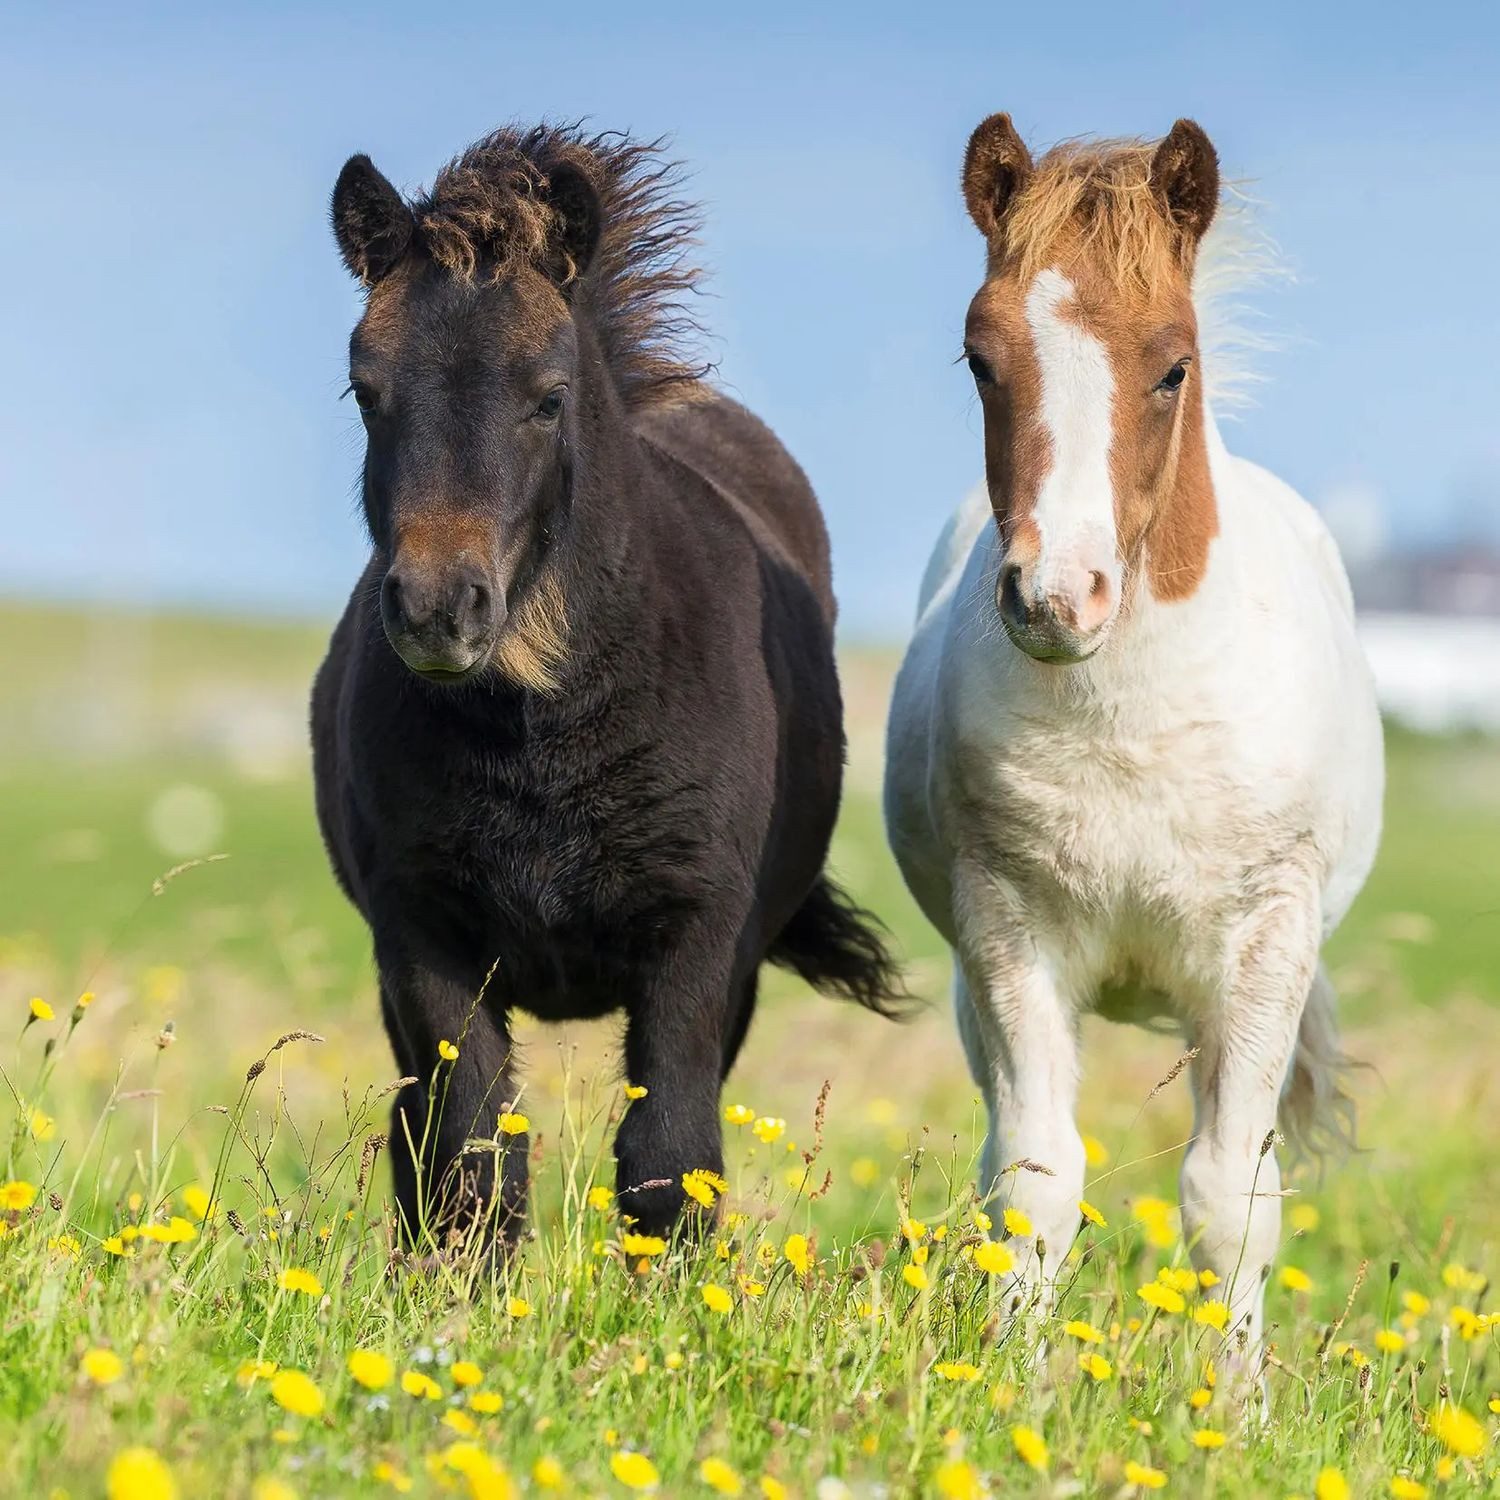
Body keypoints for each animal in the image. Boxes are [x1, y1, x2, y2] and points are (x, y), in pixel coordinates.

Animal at [311, 123, 899, 1252]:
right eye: (365, 391)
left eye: (549, 398)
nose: (439, 609)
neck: (542, 732)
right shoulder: (423, 938)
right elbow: (470, 1158)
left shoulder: (696, 941)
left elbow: (669, 1161)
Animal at [883, 115, 1383, 1359]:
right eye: (980, 358)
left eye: (1173, 366)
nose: (1057, 599)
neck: (1131, 717)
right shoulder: (1007, 933)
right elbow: (1035, 1181)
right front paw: (1012, 1380)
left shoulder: (1262, 948)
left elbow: (1230, 1198)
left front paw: (1236, 1399)